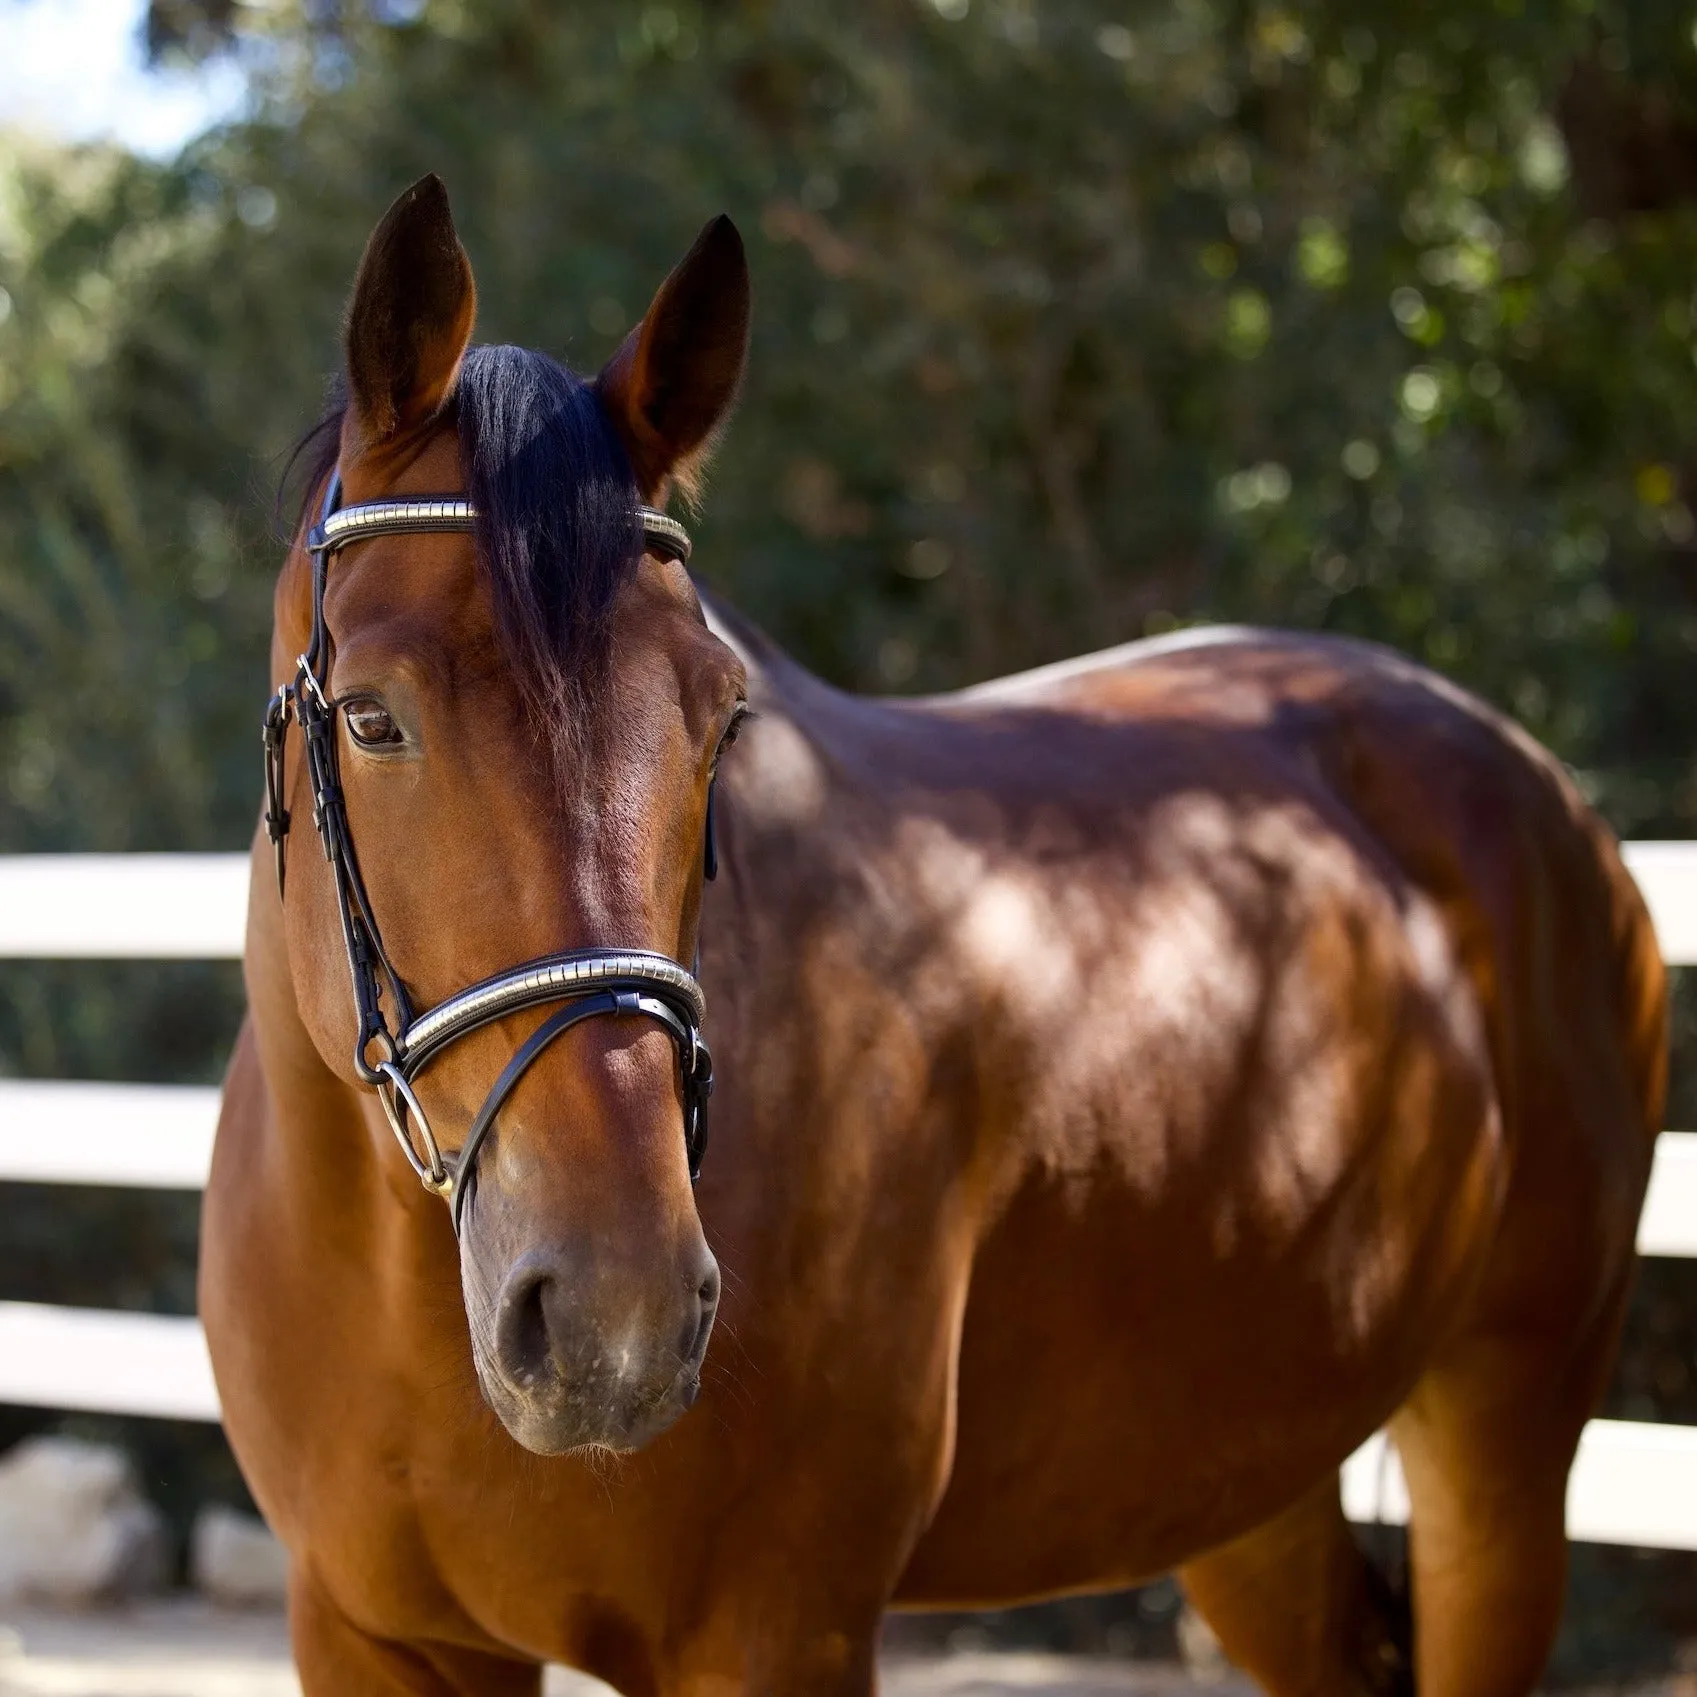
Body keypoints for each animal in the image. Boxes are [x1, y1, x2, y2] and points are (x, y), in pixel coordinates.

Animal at [201, 175, 1669, 1697]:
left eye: (721, 716)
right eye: (372, 717)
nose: (615, 1317)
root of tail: (1530, 778)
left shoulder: (782, 1632)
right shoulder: (373, 1633)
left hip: (1501, 1443)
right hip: (1246, 1475)